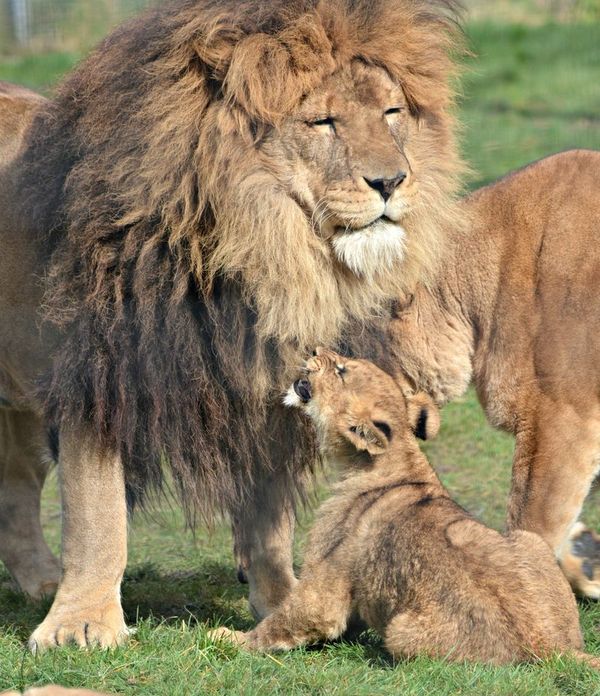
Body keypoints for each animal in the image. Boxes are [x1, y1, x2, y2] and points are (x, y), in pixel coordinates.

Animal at [0, 1, 464, 652]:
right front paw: (82, 625)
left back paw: (39, 582)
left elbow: (269, 517)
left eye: (391, 113)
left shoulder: (265, 387)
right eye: (323, 121)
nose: (393, 182)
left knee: (13, 491)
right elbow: (98, 515)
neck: (253, 246)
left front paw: (281, 602)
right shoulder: (100, 376)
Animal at [213, 350, 596, 668]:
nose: (314, 349)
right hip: (529, 540)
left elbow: (287, 620)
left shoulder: (326, 583)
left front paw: (227, 638)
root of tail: (552, 647)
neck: (399, 457)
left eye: (341, 370)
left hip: (401, 631)